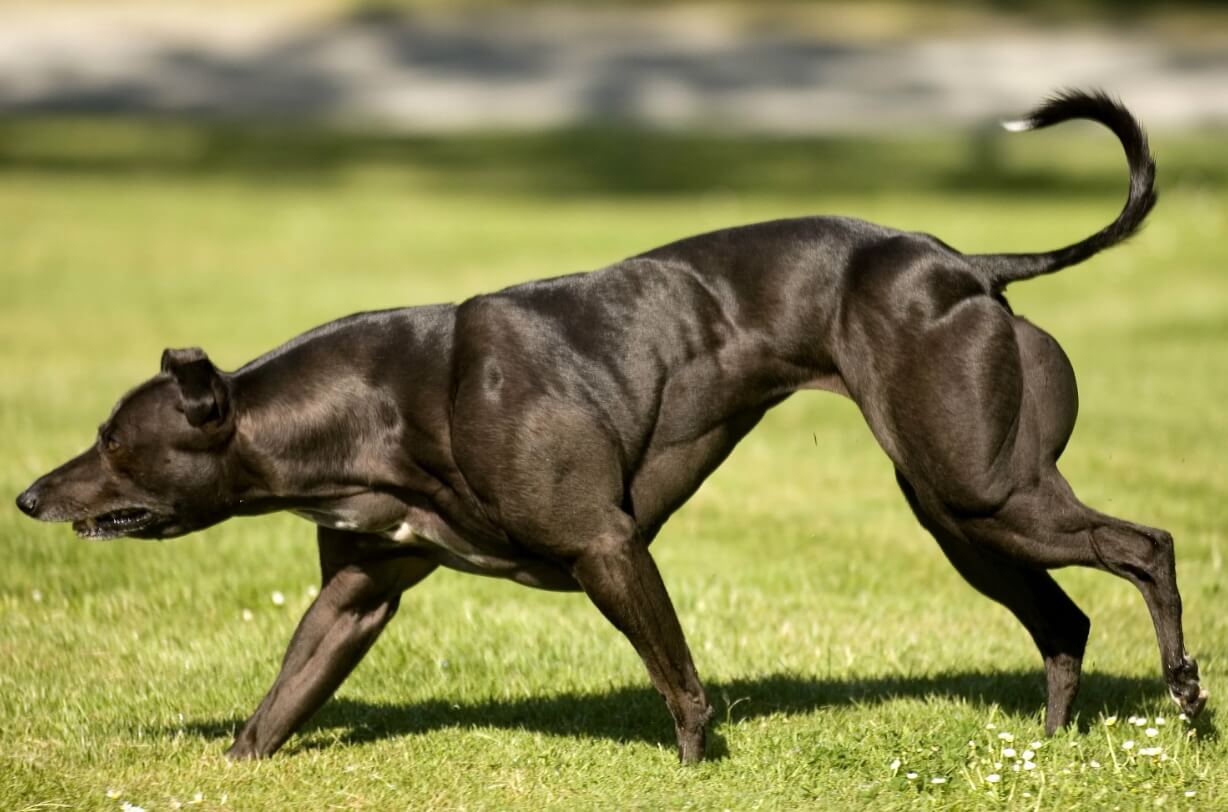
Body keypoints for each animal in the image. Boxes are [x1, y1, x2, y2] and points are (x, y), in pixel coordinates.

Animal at [14, 92, 1203, 761]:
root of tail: (969, 265)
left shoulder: (607, 547)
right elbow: (275, 707)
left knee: (1147, 545)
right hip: (961, 513)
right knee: (1063, 620)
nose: (27, 494)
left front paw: (695, 768)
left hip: (983, 490)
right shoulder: (355, 594)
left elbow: (682, 686)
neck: (376, 402)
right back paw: (1051, 747)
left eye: (115, 443)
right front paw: (230, 765)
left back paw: (1189, 704)